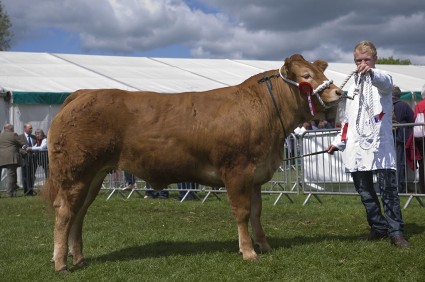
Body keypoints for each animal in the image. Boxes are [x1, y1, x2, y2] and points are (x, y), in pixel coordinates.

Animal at [44, 53, 342, 270]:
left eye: (323, 74)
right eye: (306, 76)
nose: (338, 92)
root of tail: (83, 93)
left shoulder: (257, 175)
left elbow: (257, 213)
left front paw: (265, 246)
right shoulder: (237, 171)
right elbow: (243, 212)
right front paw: (248, 252)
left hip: (93, 175)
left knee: (79, 214)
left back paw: (78, 258)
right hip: (75, 172)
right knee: (64, 212)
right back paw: (60, 263)